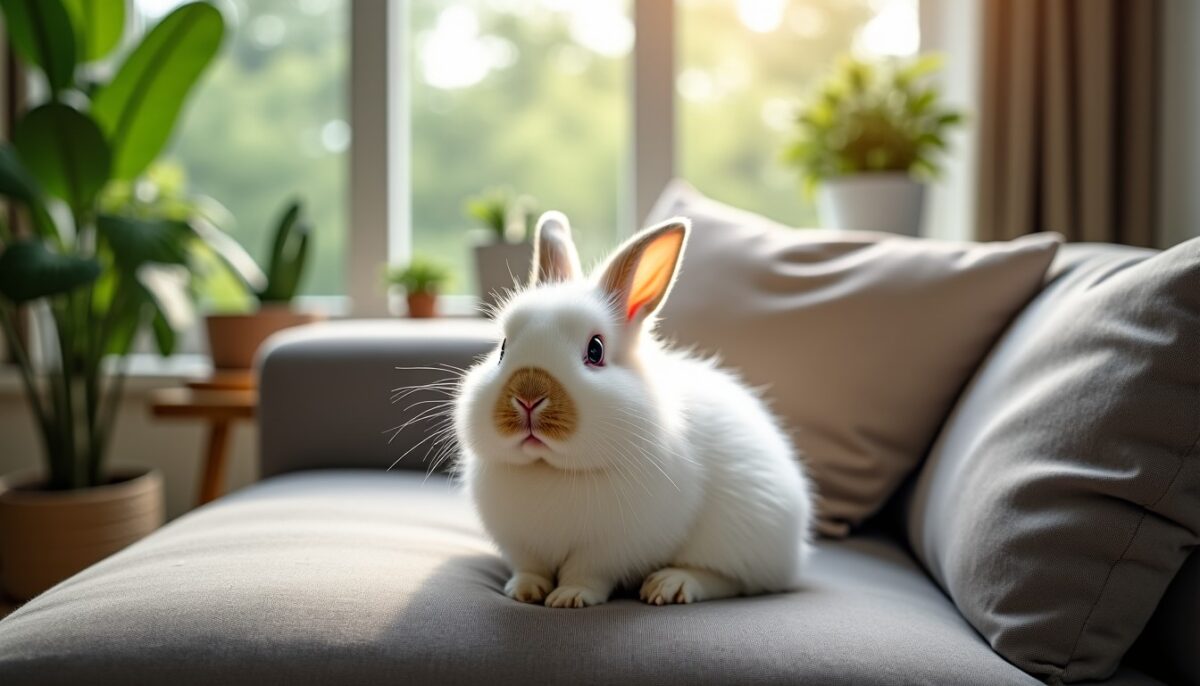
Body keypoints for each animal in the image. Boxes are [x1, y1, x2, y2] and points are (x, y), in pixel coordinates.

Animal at [454, 210, 813, 609]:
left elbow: (587, 571)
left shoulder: (614, 546)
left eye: (595, 350)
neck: (550, 469)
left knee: (732, 581)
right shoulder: (521, 544)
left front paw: (570, 597)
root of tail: (796, 554)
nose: (528, 396)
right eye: (503, 349)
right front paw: (524, 591)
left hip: (742, 539)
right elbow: (531, 568)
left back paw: (671, 584)